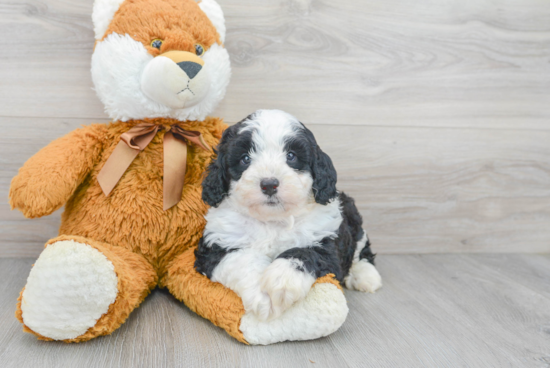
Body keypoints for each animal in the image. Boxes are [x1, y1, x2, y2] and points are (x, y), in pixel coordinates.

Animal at [196, 108, 382, 320]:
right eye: (245, 159)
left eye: (291, 156)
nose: (269, 184)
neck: (273, 220)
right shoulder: (217, 246)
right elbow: (243, 260)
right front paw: (262, 296)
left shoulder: (325, 242)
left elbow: (304, 252)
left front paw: (281, 281)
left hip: (352, 216)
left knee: (361, 249)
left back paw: (365, 276)